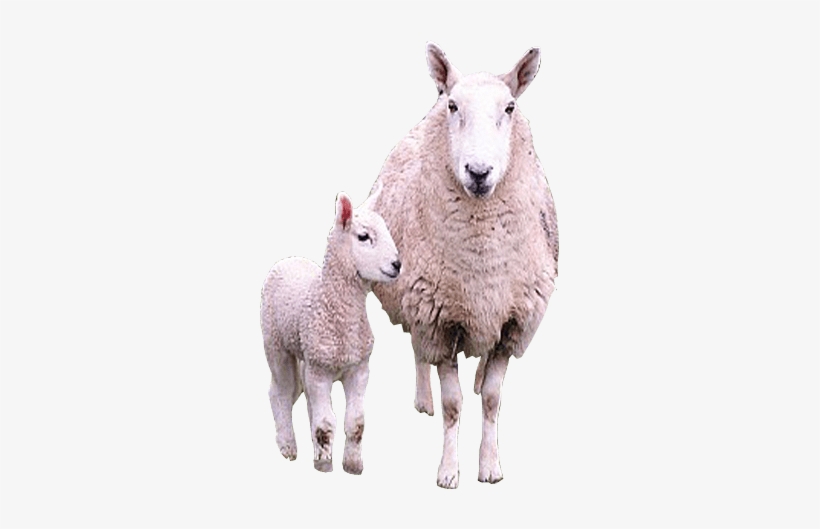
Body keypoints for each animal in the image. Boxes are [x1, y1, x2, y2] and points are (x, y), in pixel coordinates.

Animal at [260, 192, 400, 474]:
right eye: (364, 237)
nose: (397, 264)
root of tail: (289, 259)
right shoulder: (320, 372)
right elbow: (325, 424)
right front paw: (325, 464)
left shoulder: (359, 369)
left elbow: (356, 422)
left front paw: (353, 464)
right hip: (275, 344)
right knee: (280, 391)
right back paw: (287, 446)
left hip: (306, 352)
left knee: (302, 395)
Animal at [367, 44, 559, 488]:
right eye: (454, 106)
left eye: (509, 107)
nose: (479, 172)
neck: (481, 265)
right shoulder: (438, 319)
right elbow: (452, 405)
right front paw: (449, 470)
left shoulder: (513, 321)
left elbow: (492, 398)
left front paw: (489, 465)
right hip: (414, 298)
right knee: (417, 350)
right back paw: (423, 400)